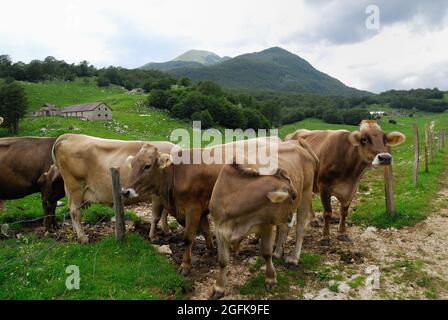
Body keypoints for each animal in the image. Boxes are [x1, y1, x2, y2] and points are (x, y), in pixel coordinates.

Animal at [121, 136, 278, 274]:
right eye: (132, 164)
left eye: (147, 166)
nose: (125, 191)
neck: (176, 175)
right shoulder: (200, 209)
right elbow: (206, 230)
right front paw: (210, 249)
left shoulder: (193, 208)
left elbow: (188, 237)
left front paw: (185, 265)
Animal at [208, 140, 316, 300]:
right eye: (293, 196)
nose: (290, 216)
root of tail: (296, 142)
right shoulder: (219, 227)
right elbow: (222, 260)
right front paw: (218, 288)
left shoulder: (265, 224)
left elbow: (266, 252)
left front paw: (271, 279)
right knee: (284, 228)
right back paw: (278, 252)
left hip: (307, 192)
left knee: (300, 227)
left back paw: (293, 258)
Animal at [284, 120, 406, 248]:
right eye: (364, 139)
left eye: (385, 138)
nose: (385, 157)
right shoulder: (324, 186)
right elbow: (327, 212)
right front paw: (325, 237)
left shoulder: (352, 188)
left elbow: (344, 212)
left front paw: (342, 233)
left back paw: (314, 220)